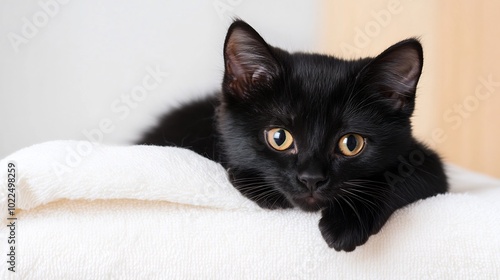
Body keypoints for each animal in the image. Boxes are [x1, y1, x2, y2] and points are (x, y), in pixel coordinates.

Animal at [138, 20, 450, 252]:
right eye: (279, 138)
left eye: (351, 144)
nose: (311, 179)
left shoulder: (425, 161)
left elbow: (395, 177)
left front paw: (346, 225)